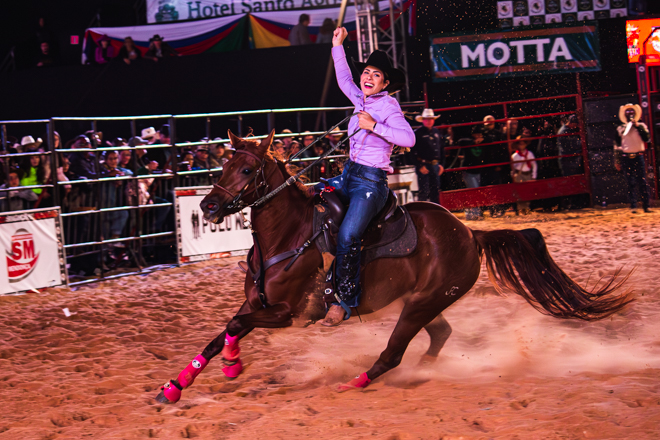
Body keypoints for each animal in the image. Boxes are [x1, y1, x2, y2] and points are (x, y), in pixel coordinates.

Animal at [156, 129, 636, 404]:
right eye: (224, 163)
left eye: (248, 169)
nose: (208, 206)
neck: (289, 234)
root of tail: (469, 234)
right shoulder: (259, 304)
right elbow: (222, 331)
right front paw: (176, 386)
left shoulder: (288, 313)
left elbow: (235, 326)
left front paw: (232, 366)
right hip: (423, 302)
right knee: (439, 336)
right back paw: (423, 371)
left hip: (421, 304)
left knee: (393, 352)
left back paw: (357, 383)